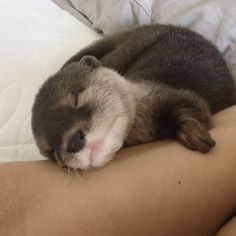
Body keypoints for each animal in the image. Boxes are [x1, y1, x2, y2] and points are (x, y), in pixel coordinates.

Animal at [31, 24, 236, 170]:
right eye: (51, 149)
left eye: (76, 99)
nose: (73, 142)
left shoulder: (180, 95)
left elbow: (190, 106)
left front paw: (192, 132)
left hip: (133, 45)